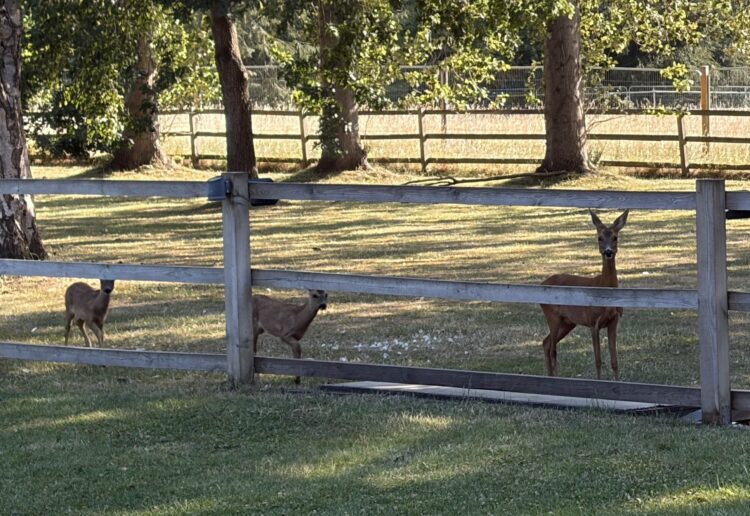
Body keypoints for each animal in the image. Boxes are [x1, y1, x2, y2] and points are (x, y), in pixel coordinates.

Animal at [539, 209, 629, 380]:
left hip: (568, 322)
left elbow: (614, 361)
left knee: (546, 343)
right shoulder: (593, 322)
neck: (602, 286)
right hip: (552, 316)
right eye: (599, 237)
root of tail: (541, 283)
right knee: (552, 349)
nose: (608, 252)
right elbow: (598, 360)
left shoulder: (614, 321)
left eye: (615, 237)